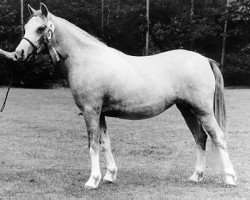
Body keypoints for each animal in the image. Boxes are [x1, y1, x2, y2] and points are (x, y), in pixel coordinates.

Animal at [14, 3, 237, 190]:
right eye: (25, 27)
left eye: (41, 29)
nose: (19, 54)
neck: (86, 59)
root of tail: (204, 59)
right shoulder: (100, 113)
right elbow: (105, 143)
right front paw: (110, 175)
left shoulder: (90, 111)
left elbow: (93, 145)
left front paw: (93, 180)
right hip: (187, 110)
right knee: (200, 138)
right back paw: (196, 176)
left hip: (203, 110)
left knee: (218, 137)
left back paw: (230, 178)